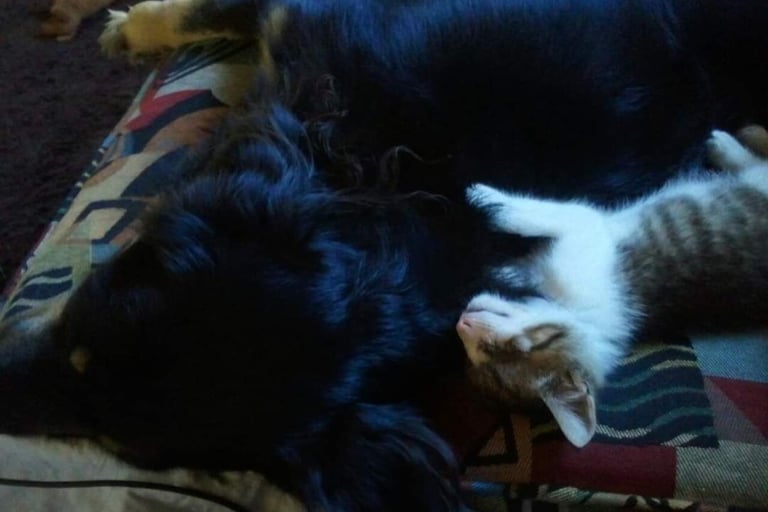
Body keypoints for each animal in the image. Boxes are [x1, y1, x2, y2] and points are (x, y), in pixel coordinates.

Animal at [457, 127, 768, 447]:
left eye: (516, 347)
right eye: (478, 359)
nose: (462, 322)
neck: (581, 315)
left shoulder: (587, 229)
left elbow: (548, 213)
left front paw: (487, 198)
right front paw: (501, 269)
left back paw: (727, 147)